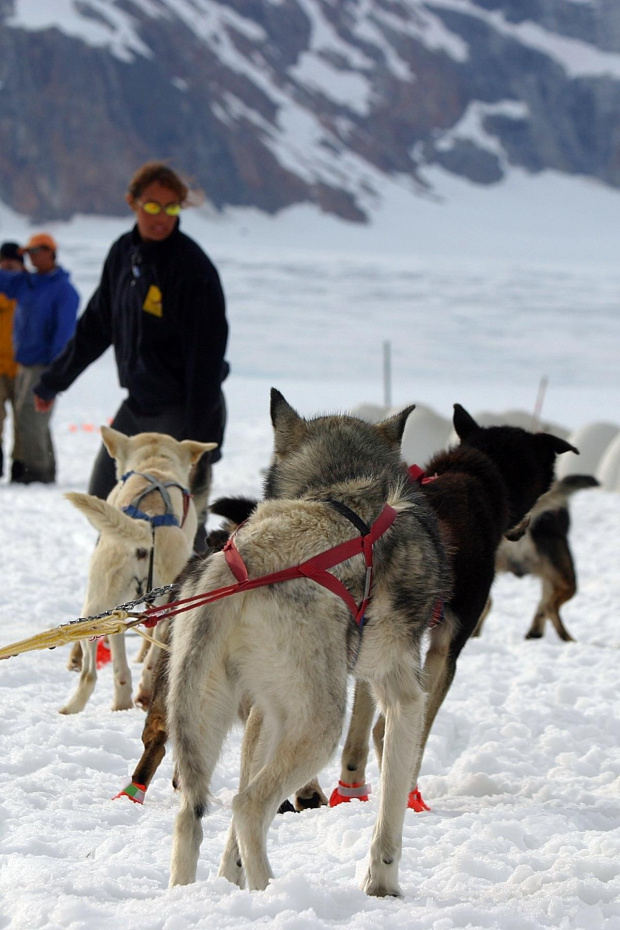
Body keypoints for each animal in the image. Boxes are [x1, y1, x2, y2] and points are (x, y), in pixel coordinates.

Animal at [60, 424, 216, 716]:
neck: (154, 464)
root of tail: (148, 523)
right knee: (151, 656)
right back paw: (139, 693)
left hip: (97, 604)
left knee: (91, 673)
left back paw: (81, 705)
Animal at [168, 388, 450, 896]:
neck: (340, 482)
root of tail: (240, 565)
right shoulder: (404, 697)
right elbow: (390, 817)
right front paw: (383, 888)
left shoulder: (264, 713)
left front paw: (229, 875)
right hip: (321, 725)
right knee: (247, 806)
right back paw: (268, 893)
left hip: (206, 714)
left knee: (192, 816)